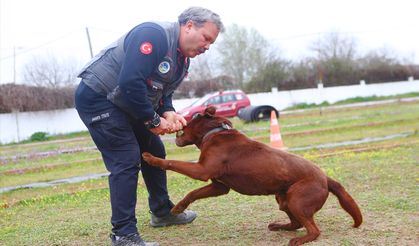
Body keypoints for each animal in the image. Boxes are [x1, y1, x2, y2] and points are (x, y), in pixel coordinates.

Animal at [143, 106, 362, 245]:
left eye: (194, 116)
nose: (178, 119)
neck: (215, 132)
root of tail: (325, 178)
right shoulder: (218, 186)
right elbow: (193, 193)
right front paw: (178, 208)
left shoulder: (201, 170)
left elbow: (173, 163)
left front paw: (151, 158)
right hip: (284, 199)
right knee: (296, 223)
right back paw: (279, 226)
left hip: (297, 199)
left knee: (313, 230)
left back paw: (299, 240)